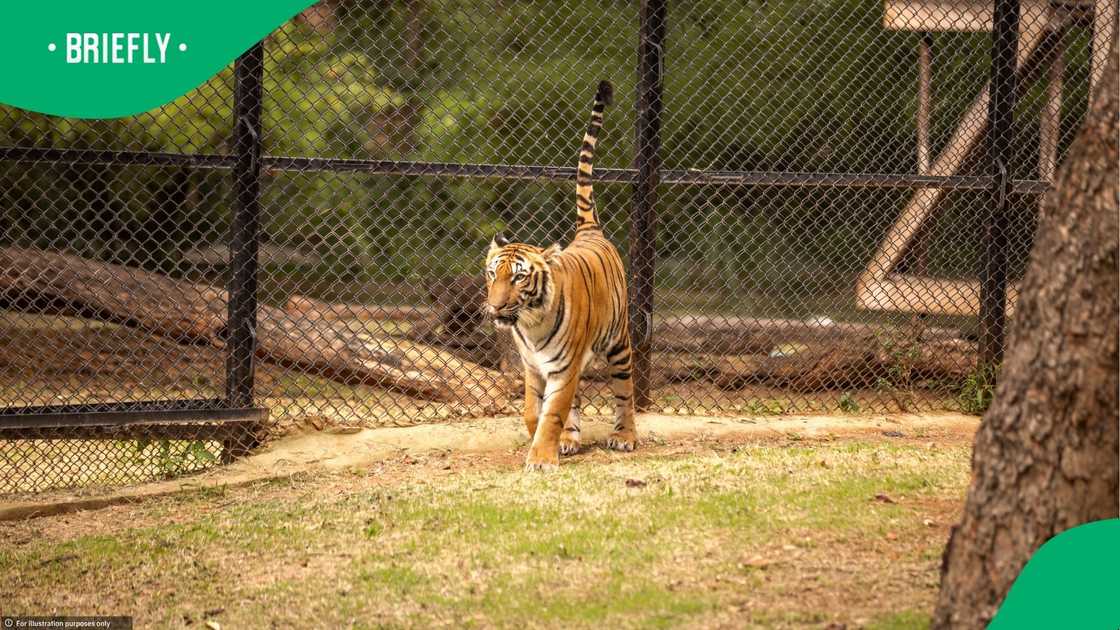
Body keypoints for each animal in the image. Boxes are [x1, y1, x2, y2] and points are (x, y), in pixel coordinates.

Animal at [484, 80, 637, 471]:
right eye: (492, 274)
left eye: (518, 278)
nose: (495, 307)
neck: (530, 324)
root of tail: (589, 231)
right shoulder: (533, 367)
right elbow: (532, 411)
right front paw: (545, 437)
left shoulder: (563, 367)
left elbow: (553, 413)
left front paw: (541, 457)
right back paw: (570, 440)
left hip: (619, 343)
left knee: (625, 392)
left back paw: (625, 436)